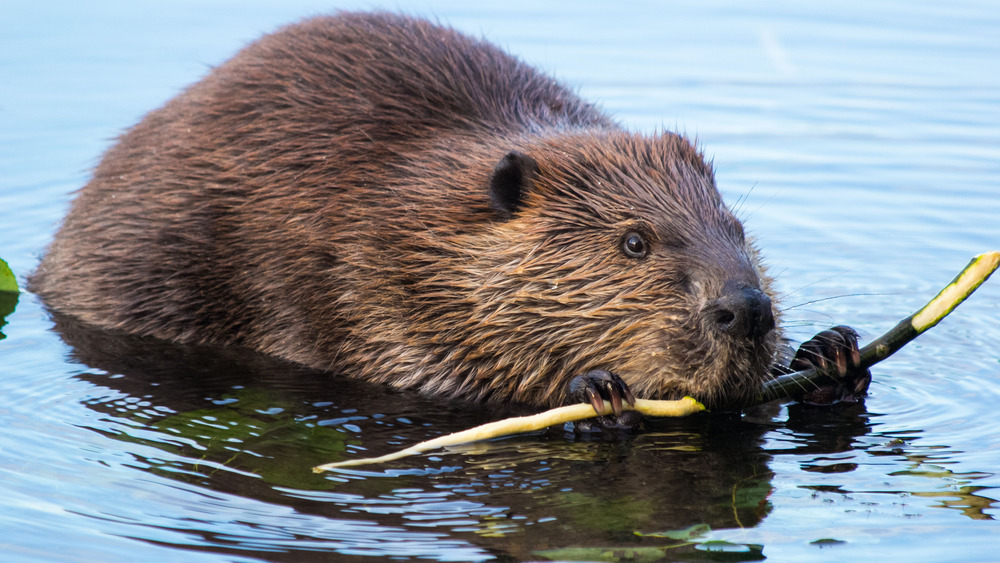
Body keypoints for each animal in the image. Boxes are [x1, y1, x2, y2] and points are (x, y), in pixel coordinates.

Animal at [31, 12, 868, 418]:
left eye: (739, 230)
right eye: (633, 241)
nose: (745, 308)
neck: (427, 212)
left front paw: (830, 353)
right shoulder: (365, 274)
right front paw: (595, 390)